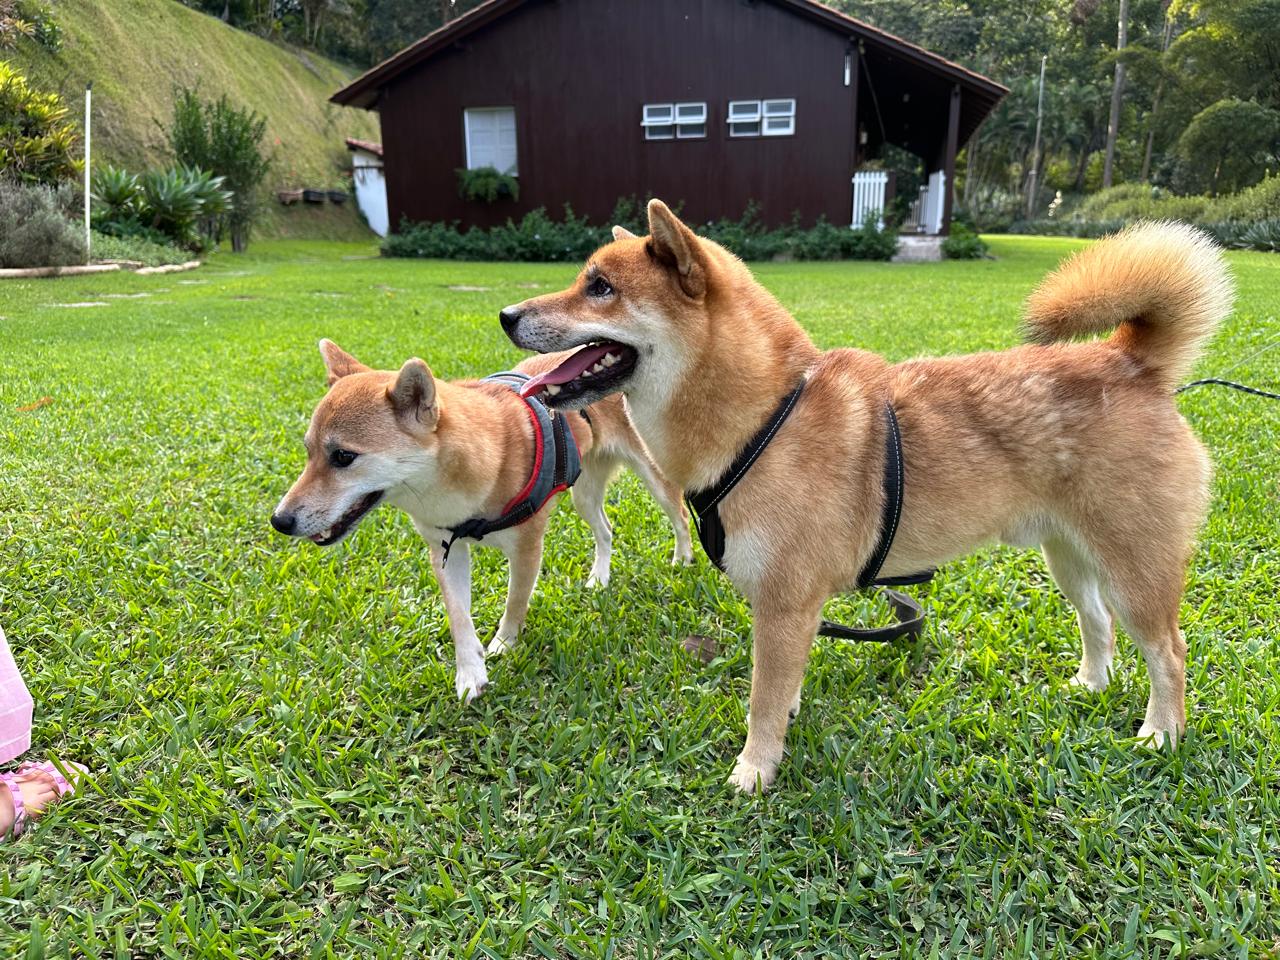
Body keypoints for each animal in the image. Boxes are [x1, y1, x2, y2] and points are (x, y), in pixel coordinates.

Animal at [268, 343, 691, 701]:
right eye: (308, 452)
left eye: (343, 457)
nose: (279, 520)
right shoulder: (445, 549)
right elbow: (458, 617)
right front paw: (470, 671)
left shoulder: (527, 547)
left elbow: (516, 601)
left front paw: (503, 644)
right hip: (583, 493)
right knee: (605, 531)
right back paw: (599, 577)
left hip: (653, 476)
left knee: (681, 515)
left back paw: (683, 558)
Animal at [496, 199, 1228, 793]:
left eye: (600, 288)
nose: (505, 315)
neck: (765, 419)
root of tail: (1132, 362)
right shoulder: (791, 608)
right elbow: (783, 686)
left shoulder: (785, 602)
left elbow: (763, 698)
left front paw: (754, 770)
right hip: (1069, 557)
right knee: (1098, 624)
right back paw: (1089, 687)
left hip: (1135, 569)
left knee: (1169, 653)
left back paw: (1162, 732)